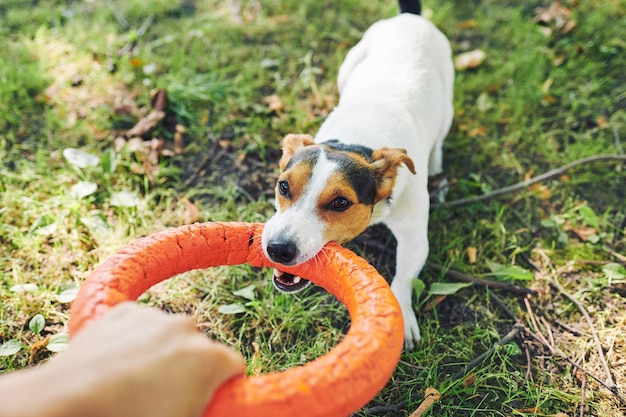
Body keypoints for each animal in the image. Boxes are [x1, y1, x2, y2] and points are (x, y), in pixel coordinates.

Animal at [260, 0, 450, 348]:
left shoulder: (415, 235)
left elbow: (403, 277)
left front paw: (402, 316)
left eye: (340, 203)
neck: (355, 141)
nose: (278, 248)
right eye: (283, 187)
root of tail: (409, 17)